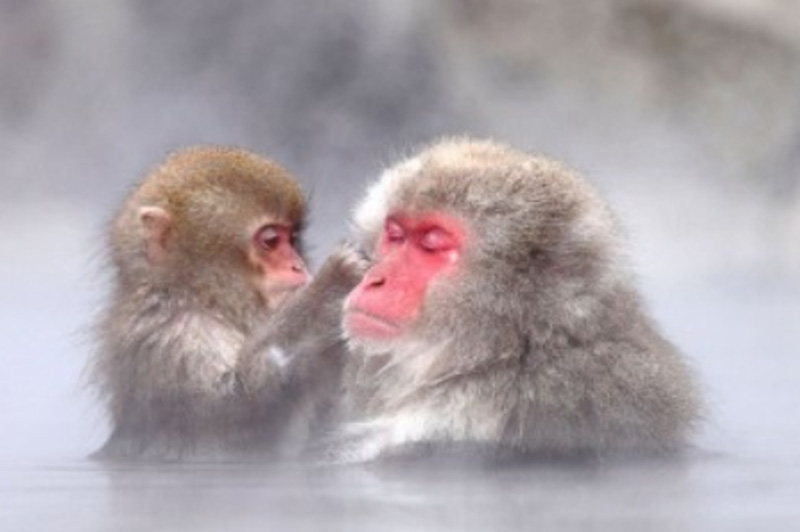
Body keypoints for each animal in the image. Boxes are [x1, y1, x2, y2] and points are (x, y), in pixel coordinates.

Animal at [88, 146, 311, 461]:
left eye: (292, 238)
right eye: (270, 240)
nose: (299, 266)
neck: (203, 299)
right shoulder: (178, 338)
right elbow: (240, 412)